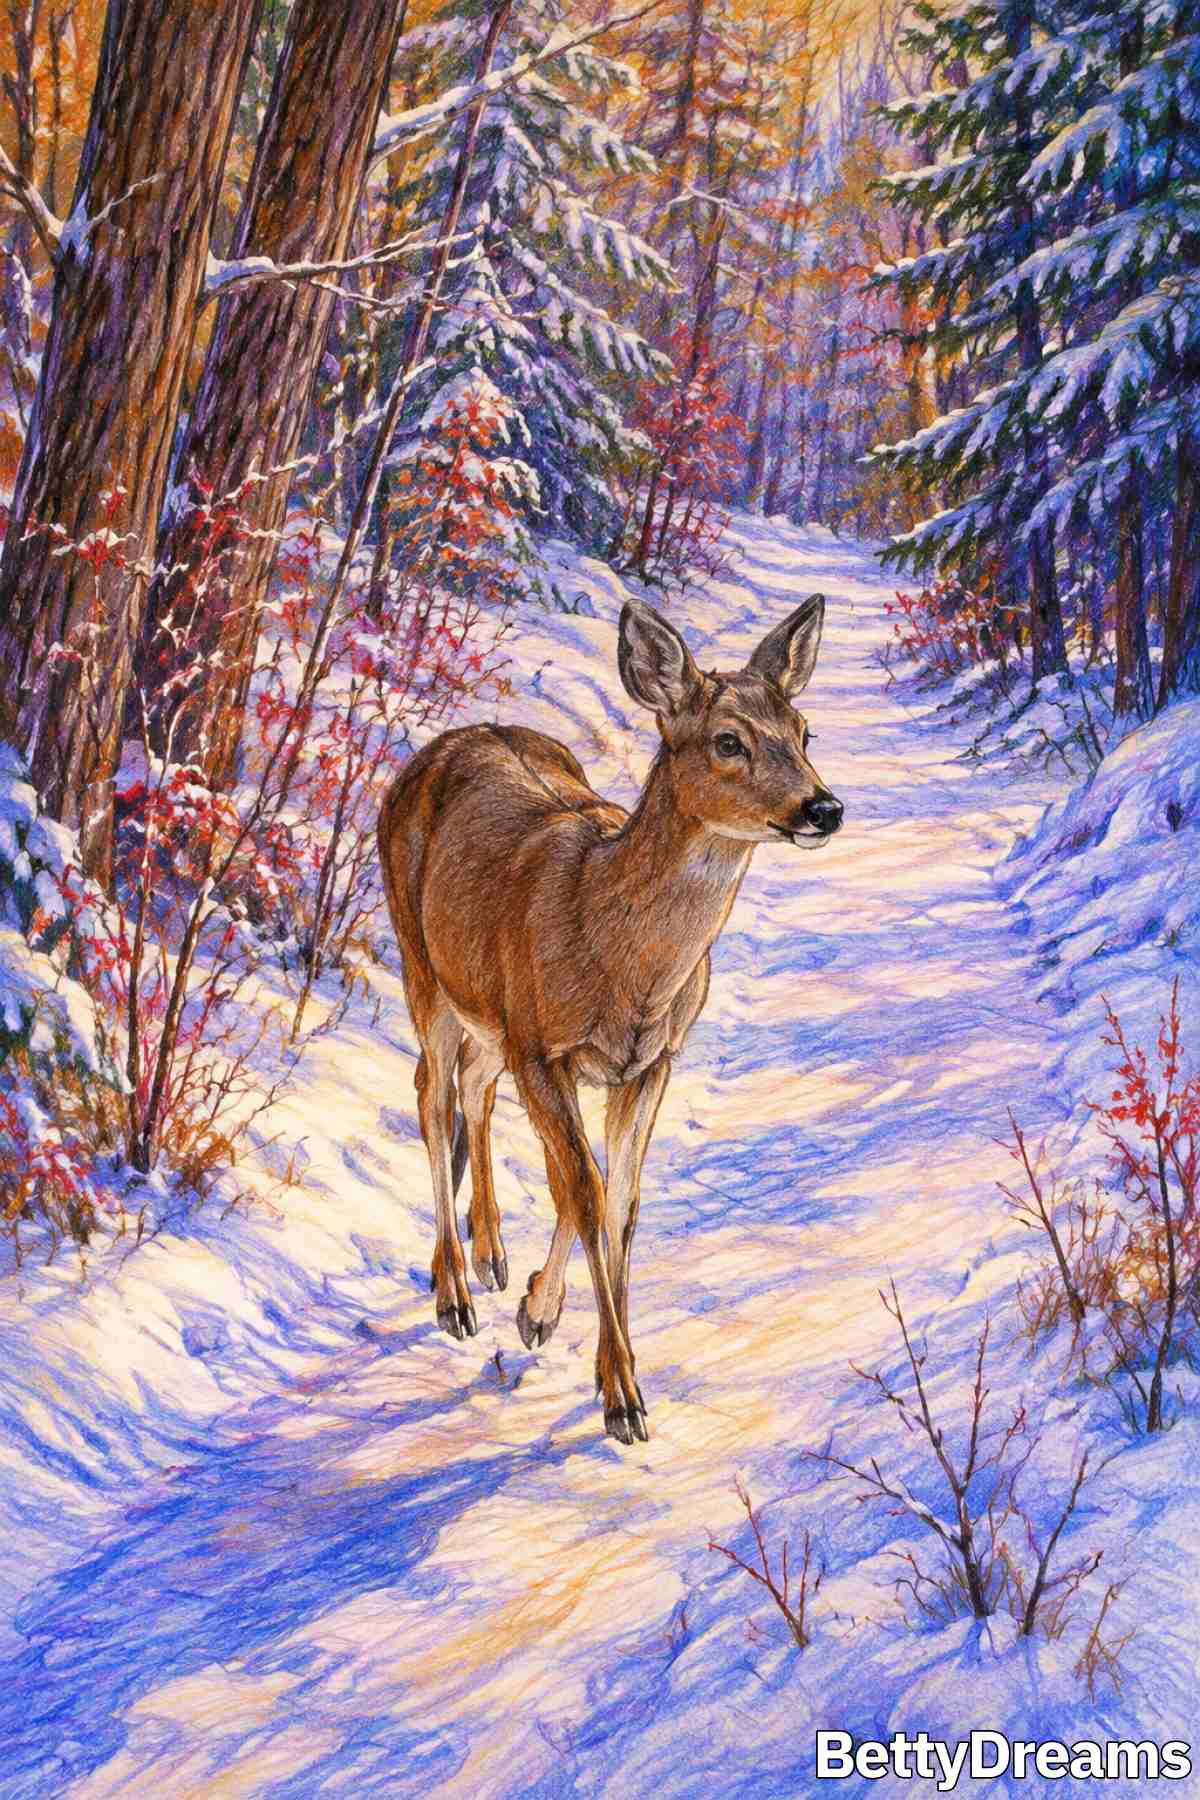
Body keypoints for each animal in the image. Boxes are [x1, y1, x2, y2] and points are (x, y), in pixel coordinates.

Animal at [377, 593, 842, 1444]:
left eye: (803, 731)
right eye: (729, 740)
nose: (822, 807)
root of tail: (453, 738)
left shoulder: (648, 1062)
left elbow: (617, 1202)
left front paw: (542, 1312)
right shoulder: (543, 1047)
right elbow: (585, 1193)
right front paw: (621, 1397)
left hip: (486, 1007)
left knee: (472, 1088)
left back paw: (491, 1256)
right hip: (420, 959)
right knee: (431, 1093)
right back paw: (454, 1291)